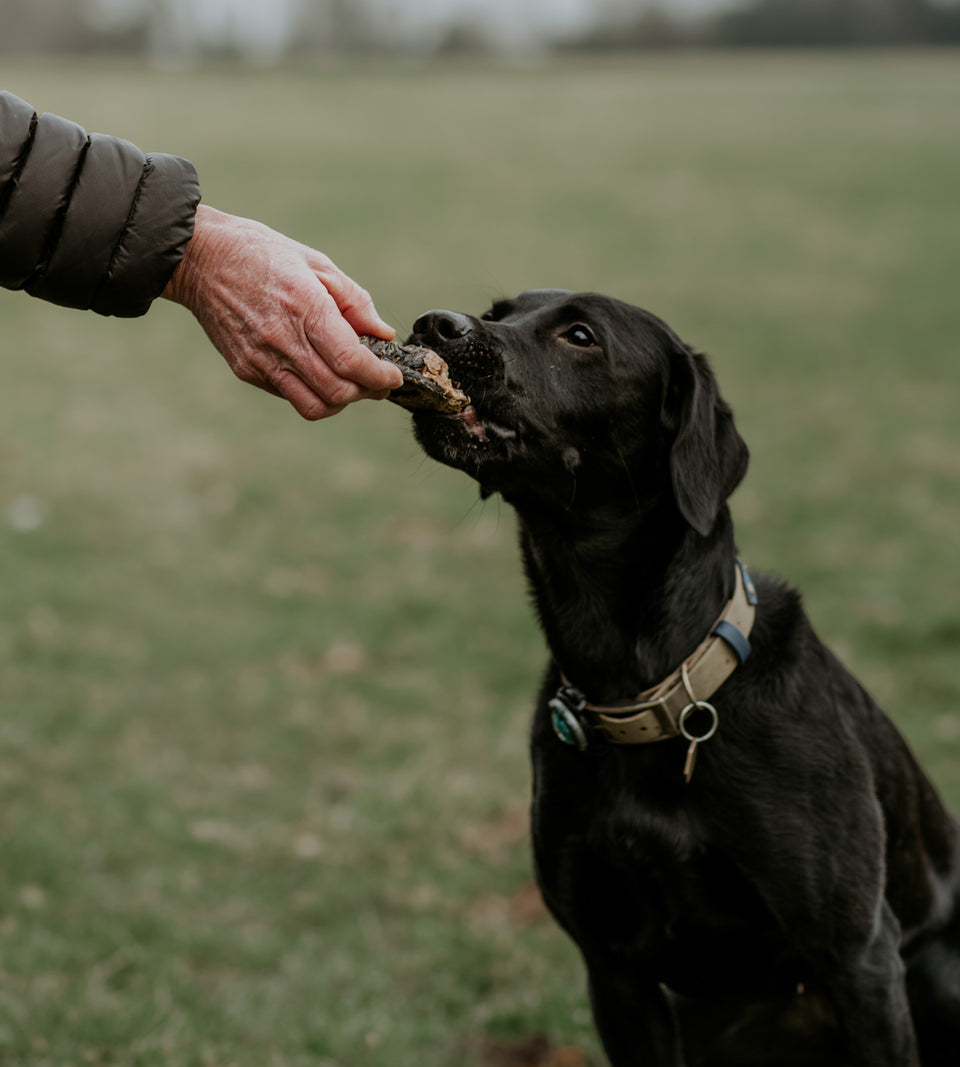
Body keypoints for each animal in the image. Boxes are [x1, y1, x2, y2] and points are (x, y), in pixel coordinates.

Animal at [405, 288, 960, 1062]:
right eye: (499, 310)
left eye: (581, 336)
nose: (434, 324)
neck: (649, 685)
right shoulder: (615, 971)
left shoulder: (859, 954)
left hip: (933, 965)